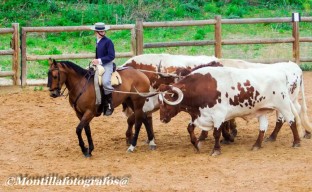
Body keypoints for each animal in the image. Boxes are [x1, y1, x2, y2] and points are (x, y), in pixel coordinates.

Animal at [158, 66, 302, 156]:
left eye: (166, 101)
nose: (162, 119)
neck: (201, 87)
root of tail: (281, 73)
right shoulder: (198, 115)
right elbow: (190, 129)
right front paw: (196, 145)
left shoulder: (218, 115)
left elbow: (216, 133)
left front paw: (216, 150)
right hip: (262, 110)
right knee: (263, 127)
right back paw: (257, 144)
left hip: (283, 105)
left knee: (291, 121)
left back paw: (296, 142)